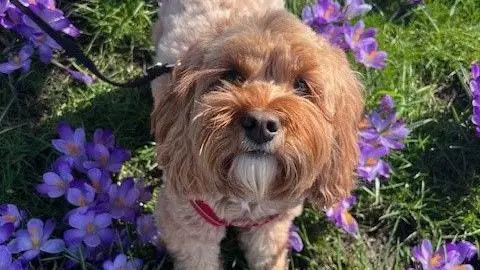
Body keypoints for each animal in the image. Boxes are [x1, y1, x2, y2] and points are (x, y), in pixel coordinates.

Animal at [150, 1, 364, 268]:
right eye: (231, 76)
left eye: (301, 85)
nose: (261, 125)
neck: (247, 199)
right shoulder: (187, 225)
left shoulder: (271, 227)